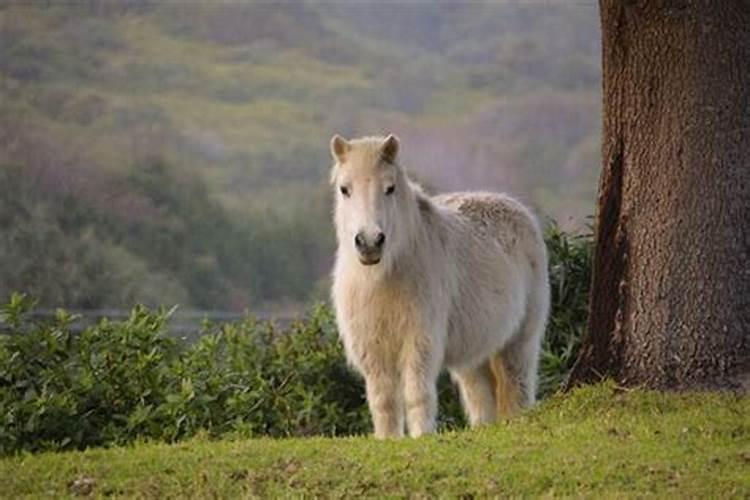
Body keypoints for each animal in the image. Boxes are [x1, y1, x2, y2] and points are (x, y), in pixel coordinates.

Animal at [332, 133, 548, 438]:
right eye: (344, 189)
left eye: (390, 188)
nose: (370, 242)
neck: (383, 277)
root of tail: (519, 211)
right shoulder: (373, 349)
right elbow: (383, 401)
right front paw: (388, 439)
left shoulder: (419, 341)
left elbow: (416, 394)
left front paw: (422, 436)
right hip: (475, 356)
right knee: (481, 397)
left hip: (518, 343)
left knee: (516, 387)